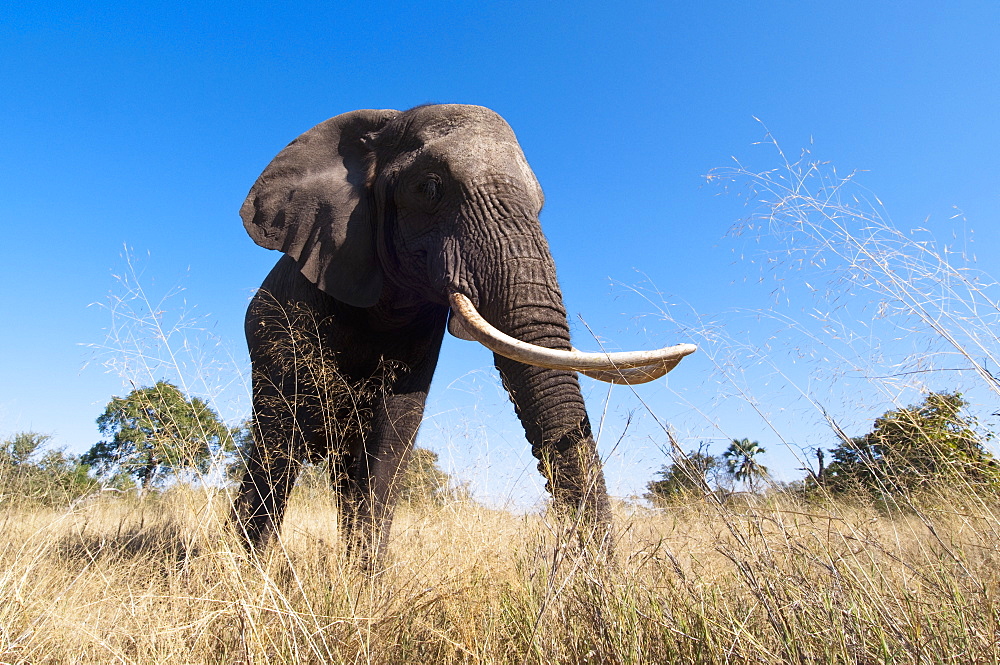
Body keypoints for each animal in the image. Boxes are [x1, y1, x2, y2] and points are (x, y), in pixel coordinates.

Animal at [231, 105, 696, 564]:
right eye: (430, 188)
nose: (593, 572)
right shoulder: (298, 310)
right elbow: (287, 428)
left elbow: (390, 438)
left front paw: (362, 583)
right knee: (273, 450)